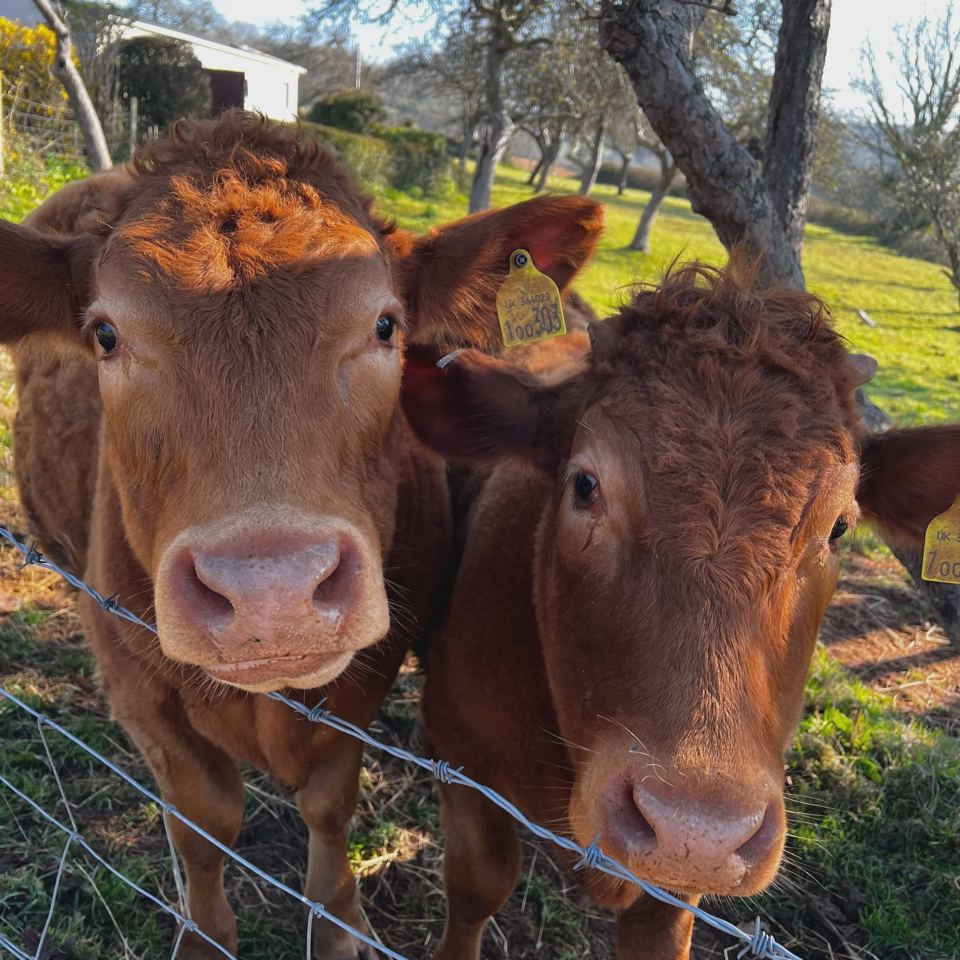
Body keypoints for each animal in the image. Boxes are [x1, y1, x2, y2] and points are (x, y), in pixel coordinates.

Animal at [0, 111, 603, 958]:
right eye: (107, 336)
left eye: (386, 325)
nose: (270, 593)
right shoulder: (139, 687)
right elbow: (203, 824)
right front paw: (204, 934)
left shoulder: (364, 678)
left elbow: (327, 803)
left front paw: (340, 921)